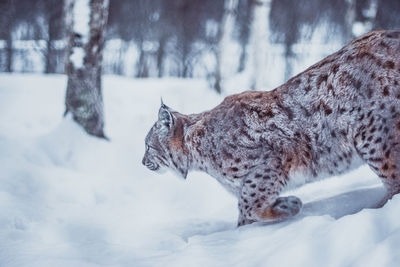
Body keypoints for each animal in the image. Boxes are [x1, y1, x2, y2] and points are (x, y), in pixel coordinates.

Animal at [142, 29, 398, 226]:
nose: (142, 163)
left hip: (371, 137)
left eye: (147, 146)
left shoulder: (273, 159)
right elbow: (246, 210)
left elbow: (248, 205)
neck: (194, 152)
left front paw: (288, 207)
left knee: (394, 181)